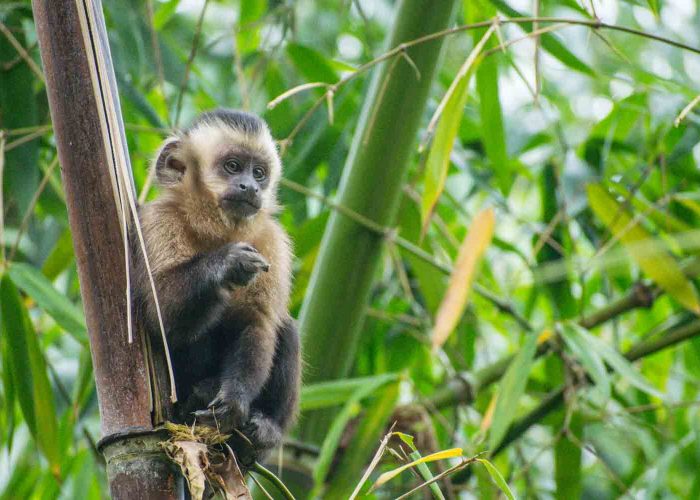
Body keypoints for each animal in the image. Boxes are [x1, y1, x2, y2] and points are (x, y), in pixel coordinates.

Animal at [131, 109, 300, 458]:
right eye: (233, 166)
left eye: (259, 173)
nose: (250, 187)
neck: (216, 230)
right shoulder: (158, 222)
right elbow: (160, 319)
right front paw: (227, 263)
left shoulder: (271, 241)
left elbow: (257, 322)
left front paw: (235, 400)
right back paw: (197, 396)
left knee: (285, 327)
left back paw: (265, 432)